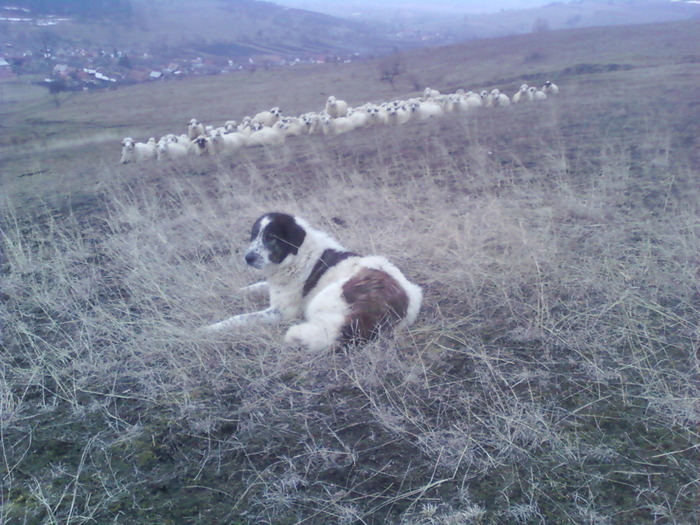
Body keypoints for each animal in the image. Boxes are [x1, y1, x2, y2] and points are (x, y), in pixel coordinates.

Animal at [202, 213, 422, 352]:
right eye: (254, 235)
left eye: (271, 237)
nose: (248, 258)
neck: (297, 254)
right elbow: (258, 286)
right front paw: (234, 291)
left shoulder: (282, 312)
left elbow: (239, 318)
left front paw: (210, 329)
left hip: (325, 297)